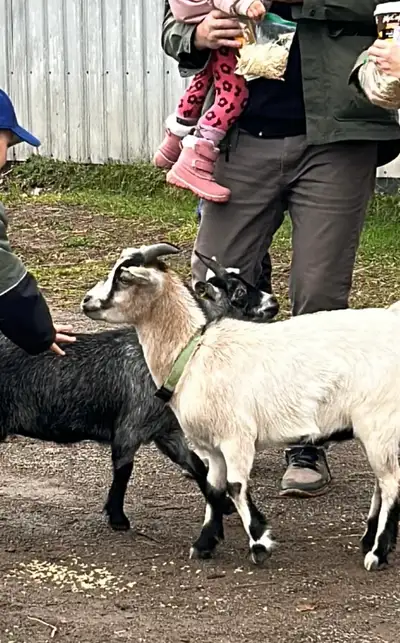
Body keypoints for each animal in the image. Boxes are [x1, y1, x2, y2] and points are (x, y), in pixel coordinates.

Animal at [81, 242, 400, 572]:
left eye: (123, 278)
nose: (87, 302)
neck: (193, 352)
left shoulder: (236, 436)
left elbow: (235, 486)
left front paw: (259, 543)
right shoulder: (211, 446)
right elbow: (213, 488)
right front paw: (204, 543)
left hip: (378, 422)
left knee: (391, 484)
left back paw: (378, 552)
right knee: (382, 482)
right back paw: (370, 538)